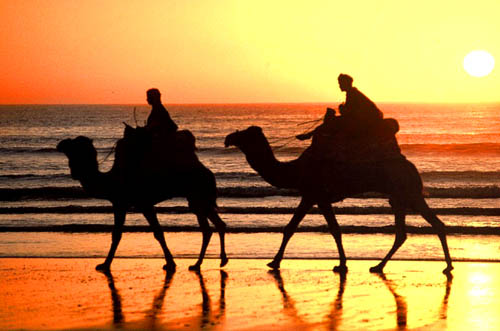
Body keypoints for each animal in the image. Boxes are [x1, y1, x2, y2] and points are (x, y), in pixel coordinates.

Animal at [57, 131, 228, 274]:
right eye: (70, 148)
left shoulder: (135, 203)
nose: (60, 144)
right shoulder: (126, 204)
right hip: (198, 200)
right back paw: (212, 262)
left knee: (208, 228)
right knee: (213, 226)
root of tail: (209, 173)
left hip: (198, 197)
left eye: (76, 147)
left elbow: (139, 233)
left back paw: (201, 263)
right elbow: (144, 233)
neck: (111, 180)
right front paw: (170, 263)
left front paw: (105, 264)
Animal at [224, 126, 454, 274]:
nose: (228, 138)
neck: (295, 170)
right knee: (405, 233)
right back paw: (380, 266)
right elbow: (298, 228)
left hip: (407, 193)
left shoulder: (315, 195)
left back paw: (446, 266)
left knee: (430, 226)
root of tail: (413, 168)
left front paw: (274, 262)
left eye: (244, 133)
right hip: (399, 197)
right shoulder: (313, 197)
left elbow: (324, 229)